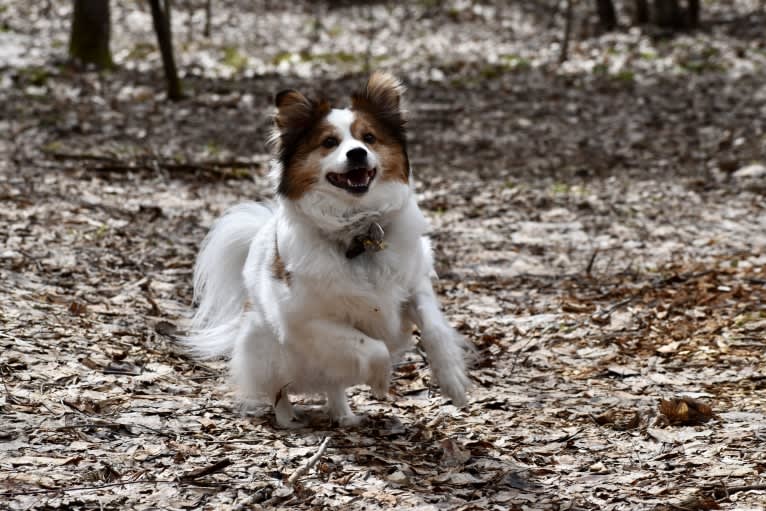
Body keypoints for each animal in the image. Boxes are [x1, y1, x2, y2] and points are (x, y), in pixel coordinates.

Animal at [186, 70, 472, 426]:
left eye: (369, 138)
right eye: (329, 143)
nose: (357, 153)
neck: (360, 233)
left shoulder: (415, 284)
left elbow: (434, 330)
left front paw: (453, 380)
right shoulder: (306, 320)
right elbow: (373, 347)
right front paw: (381, 381)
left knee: (332, 384)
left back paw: (344, 415)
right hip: (267, 349)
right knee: (279, 389)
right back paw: (289, 420)